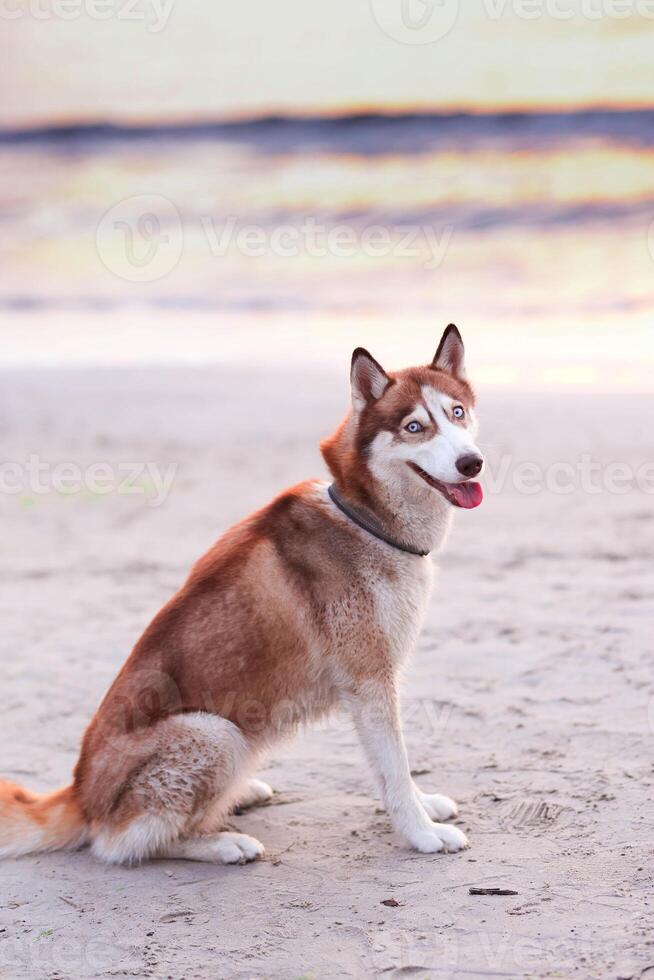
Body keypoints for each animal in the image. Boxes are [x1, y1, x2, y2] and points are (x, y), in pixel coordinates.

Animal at [0, 324, 486, 864]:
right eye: (414, 427)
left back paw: (240, 795)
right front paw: (420, 831)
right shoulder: (369, 680)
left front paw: (424, 806)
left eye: (457, 413)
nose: (471, 463)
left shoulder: (377, 682)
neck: (366, 519)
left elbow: (392, 768)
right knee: (120, 843)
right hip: (215, 732)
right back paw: (221, 842)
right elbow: (395, 767)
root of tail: (80, 794)